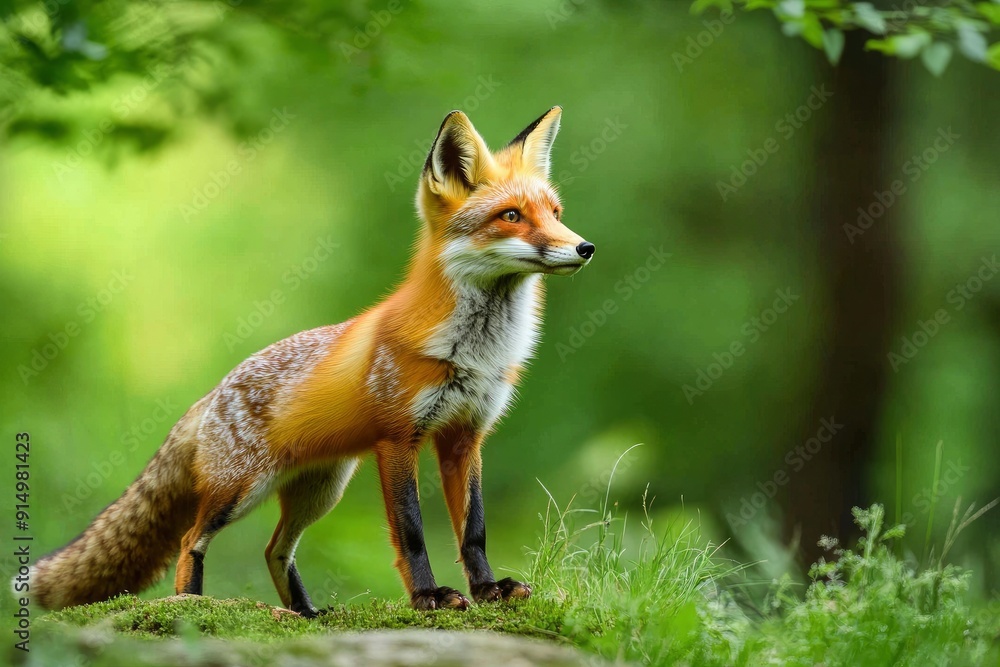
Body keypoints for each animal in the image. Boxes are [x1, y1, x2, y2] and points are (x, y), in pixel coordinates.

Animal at [26, 106, 595, 616]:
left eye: (556, 214)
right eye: (511, 216)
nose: (585, 247)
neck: (473, 351)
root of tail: (212, 393)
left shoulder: (465, 436)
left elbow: (474, 531)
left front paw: (488, 590)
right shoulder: (398, 440)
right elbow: (411, 533)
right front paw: (428, 598)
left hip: (320, 492)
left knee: (274, 550)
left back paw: (305, 613)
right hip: (241, 490)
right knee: (192, 539)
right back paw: (192, 605)